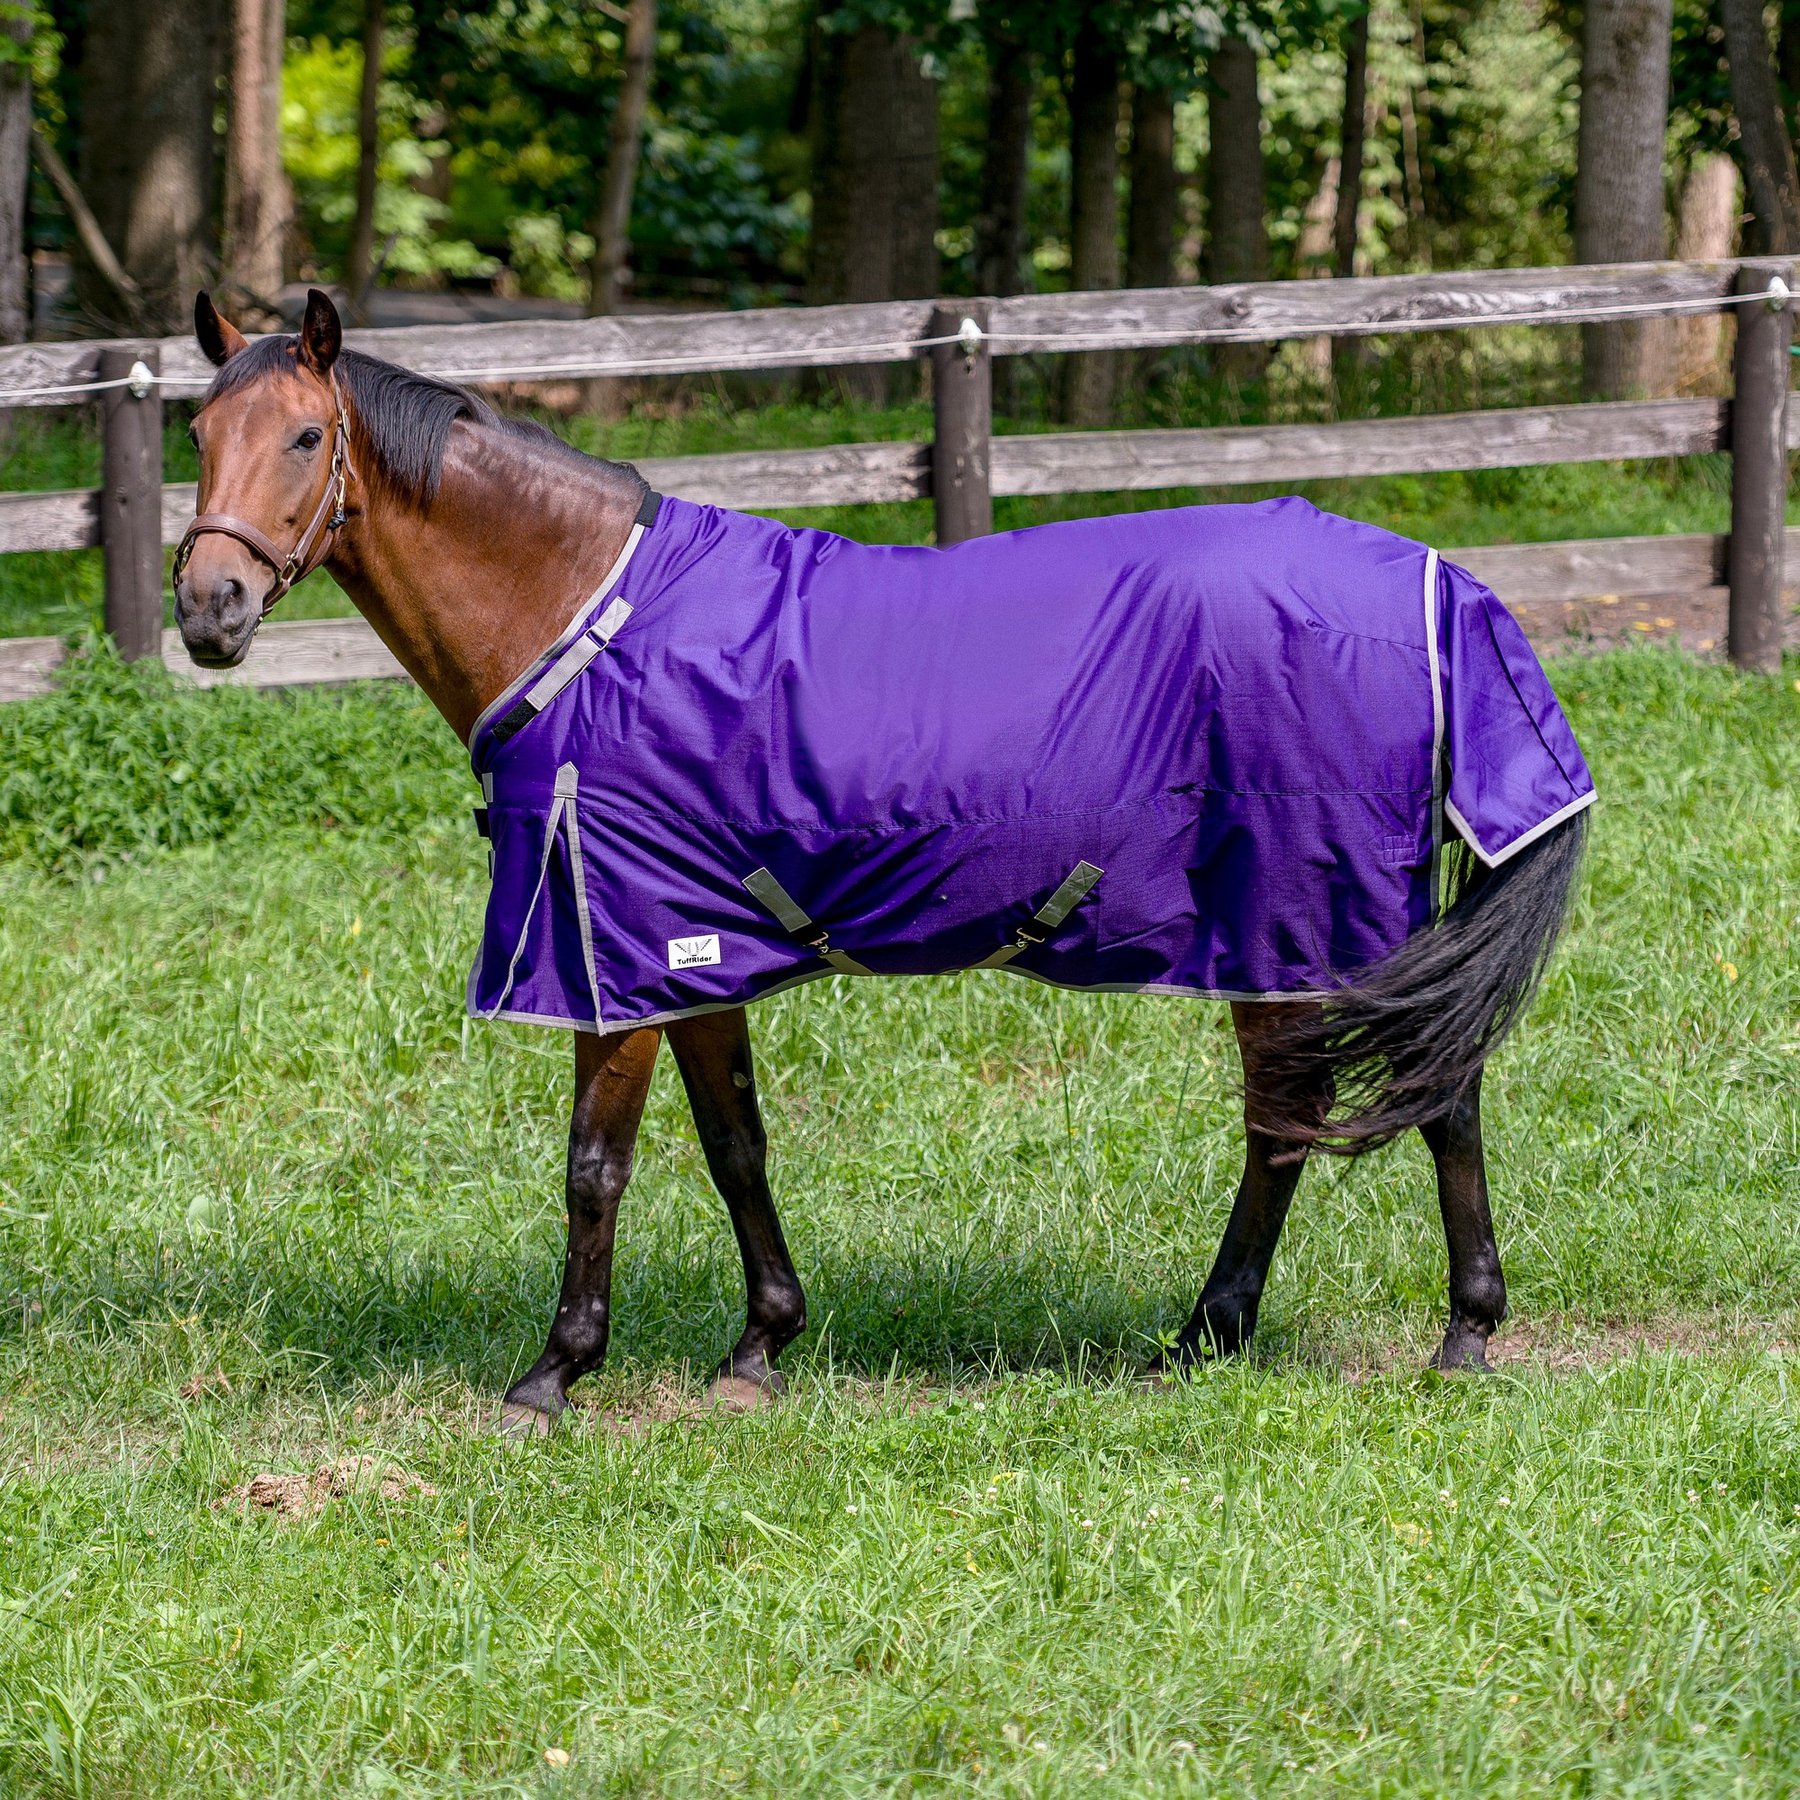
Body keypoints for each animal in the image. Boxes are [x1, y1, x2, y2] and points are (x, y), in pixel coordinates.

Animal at [173, 289, 1592, 1430]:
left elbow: (594, 1167)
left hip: (1305, 916)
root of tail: (1440, 582)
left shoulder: (610, 954)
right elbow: (735, 1145)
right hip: (1288, 931)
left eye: (305, 437)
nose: (208, 611)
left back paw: (1448, 1333)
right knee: (1308, 1118)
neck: (586, 616)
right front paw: (760, 1345)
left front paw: (553, 1373)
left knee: (1408, 1101)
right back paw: (1218, 1337)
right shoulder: (692, 952)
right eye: (196, 436)